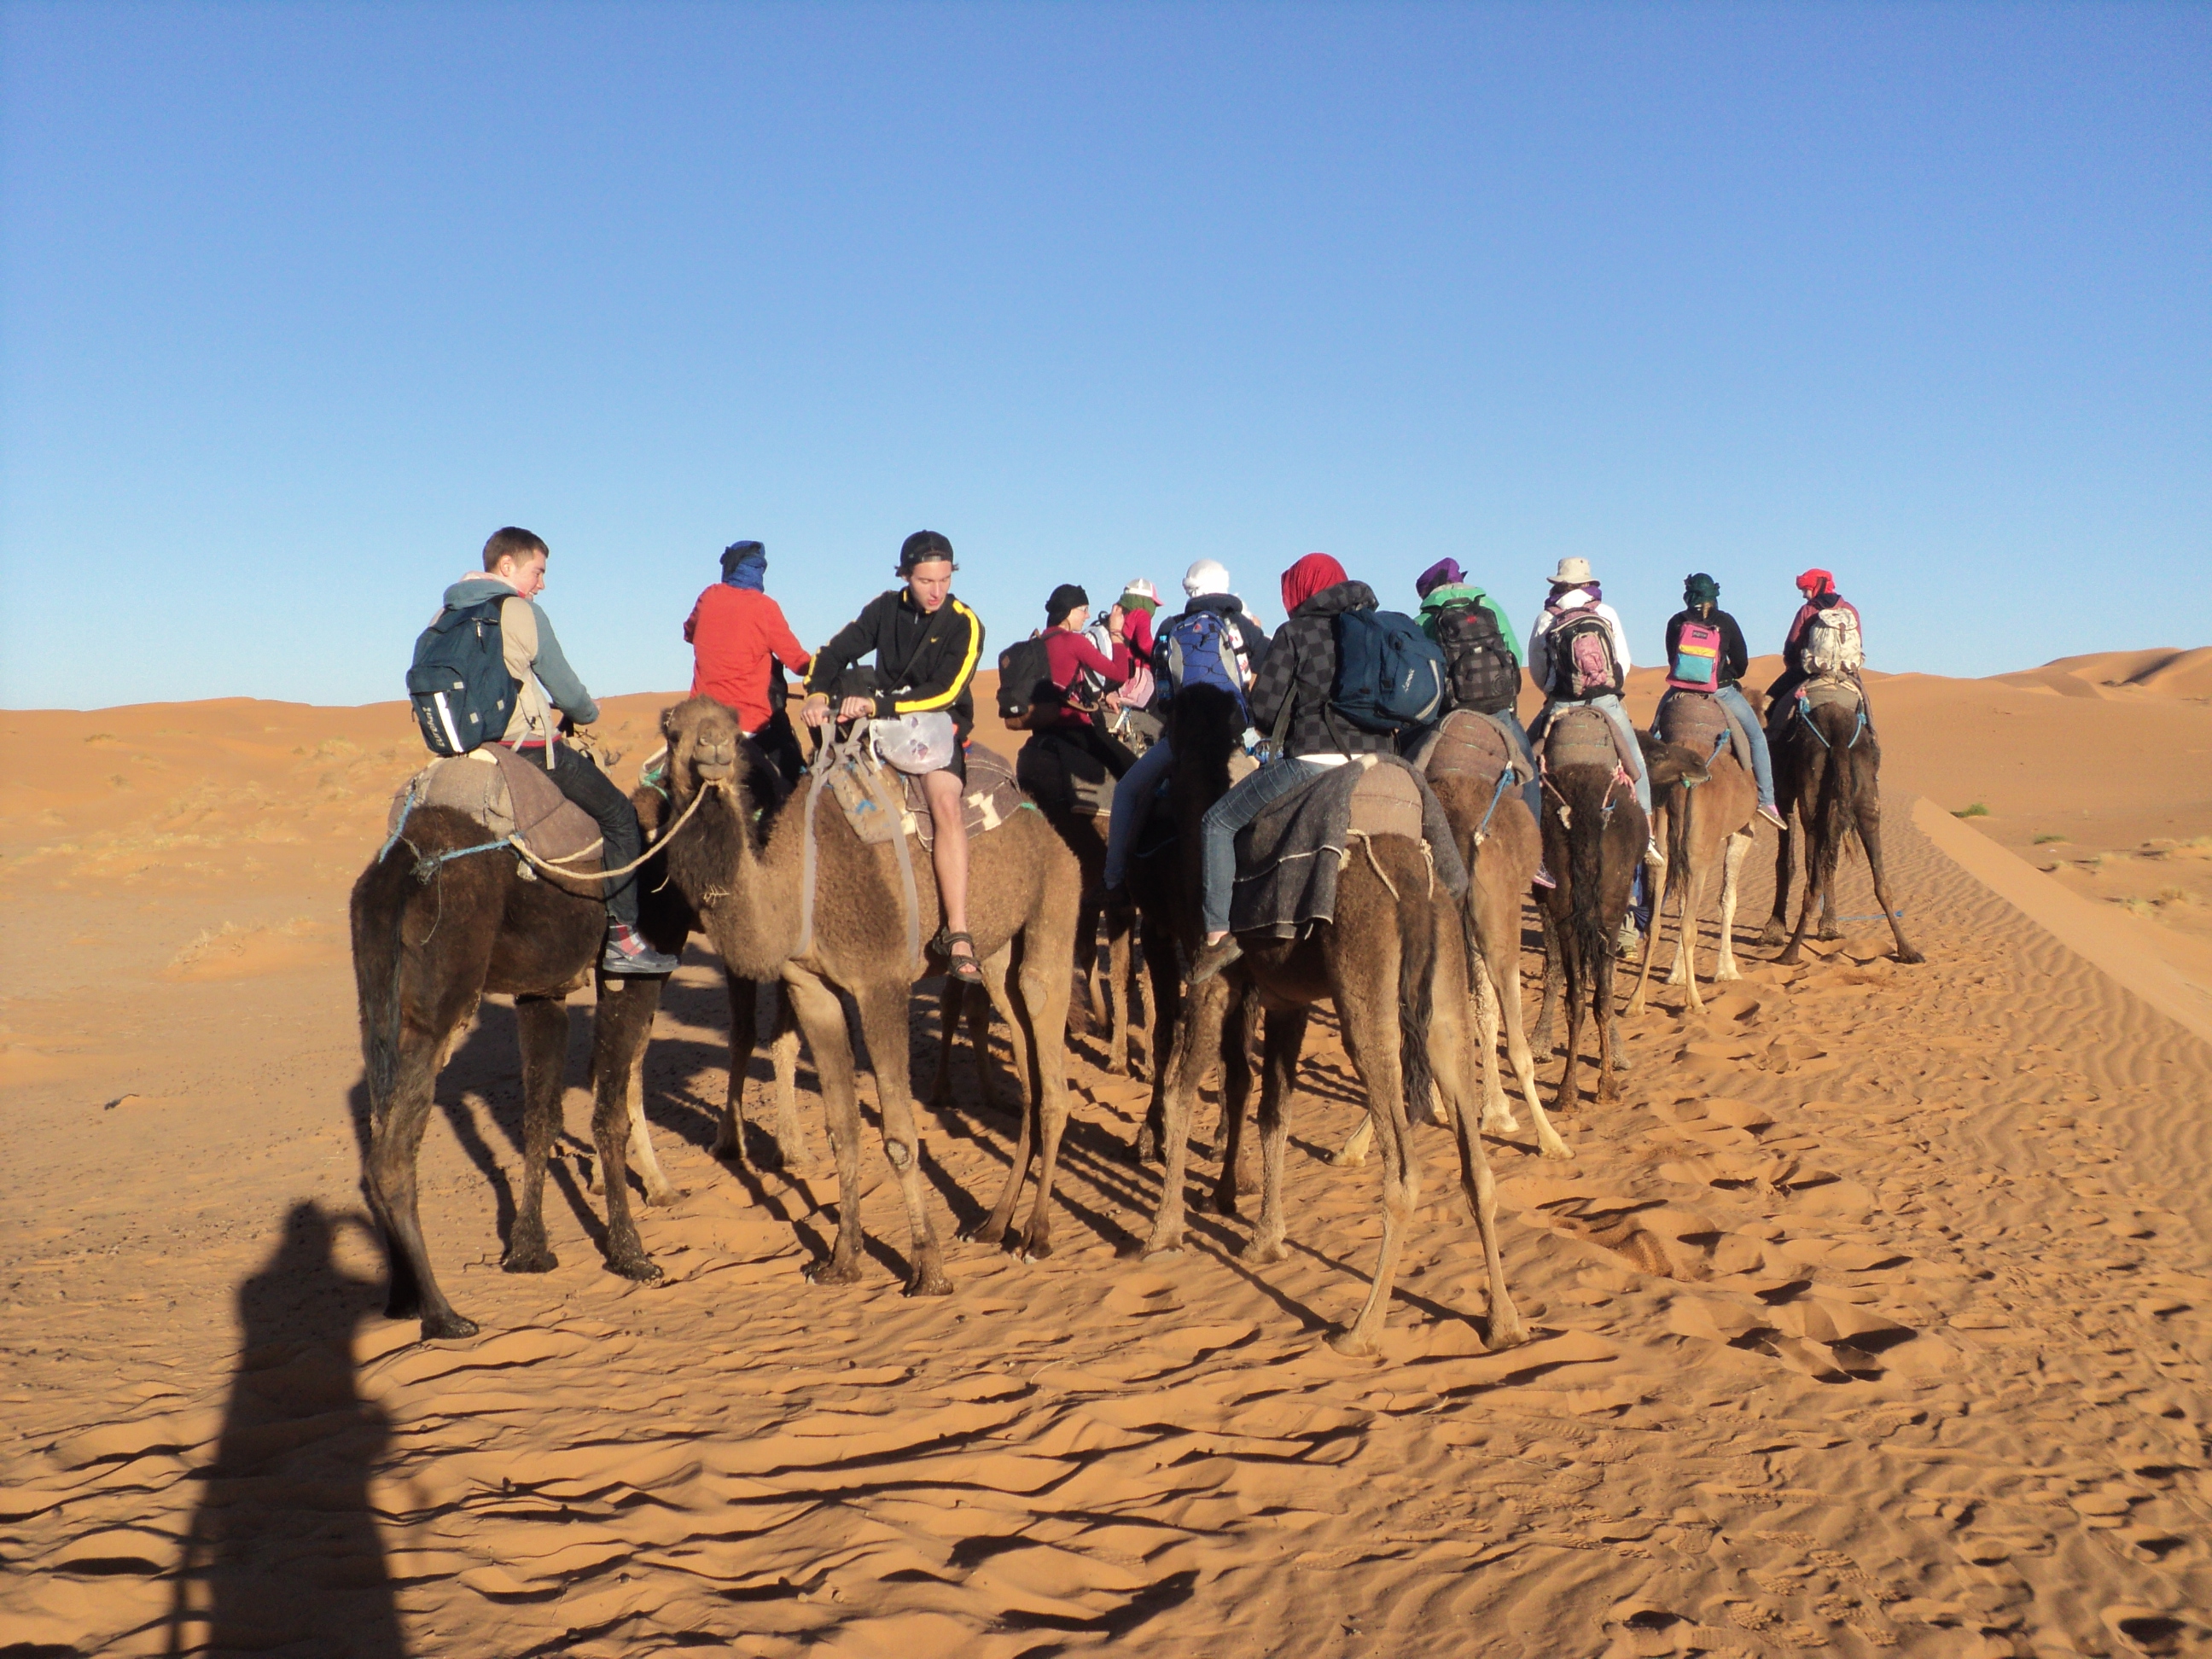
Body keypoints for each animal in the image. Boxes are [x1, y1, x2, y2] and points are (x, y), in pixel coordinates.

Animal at [657, 697, 1083, 1289]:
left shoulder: (881, 983)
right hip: (999, 955)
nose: (714, 746)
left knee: (1052, 1073)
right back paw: (994, 1225)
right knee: (1030, 1079)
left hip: (1055, 910)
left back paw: (1035, 1237)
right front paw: (842, 1259)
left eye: (734, 729)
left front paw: (927, 1268)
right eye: (672, 730)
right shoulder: (810, 988)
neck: (796, 893)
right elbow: (842, 1130)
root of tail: (1048, 829)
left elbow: (901, 1136)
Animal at [1137, 686, 1524, 1358]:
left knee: (1404, 1172)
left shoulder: (1213, 980)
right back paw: (1502, 1321)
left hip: (1366, 998)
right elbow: (1275, 1113)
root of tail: (1413, 884)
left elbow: (1183, 1092)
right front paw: (1266, 1238)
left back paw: (1361, 1329)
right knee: (1477, 1166)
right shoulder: (1286, 1001)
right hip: (1443, 993)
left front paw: (1165, 1231)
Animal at [1629, 694, 1758, 1016]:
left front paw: (1674, 975)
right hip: (1701, 852)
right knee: (1690, 924)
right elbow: (1728, 900)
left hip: (1663, 843)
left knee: (1655, 921)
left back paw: (1635, 1001)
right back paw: (1695, 1001)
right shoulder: (1742, 832)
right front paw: (1727, 971)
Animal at [1760, 684, 1923, 966]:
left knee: (1811, 882)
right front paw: (1829, 928)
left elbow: (1787, 863)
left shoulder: (1783, 795)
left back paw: (1789, 954)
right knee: (1881, 881)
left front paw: (1774, 930)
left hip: (1813, 799)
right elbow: (1829, 862)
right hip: (1866, 799)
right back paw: (1908, 951)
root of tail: (1837, 728)